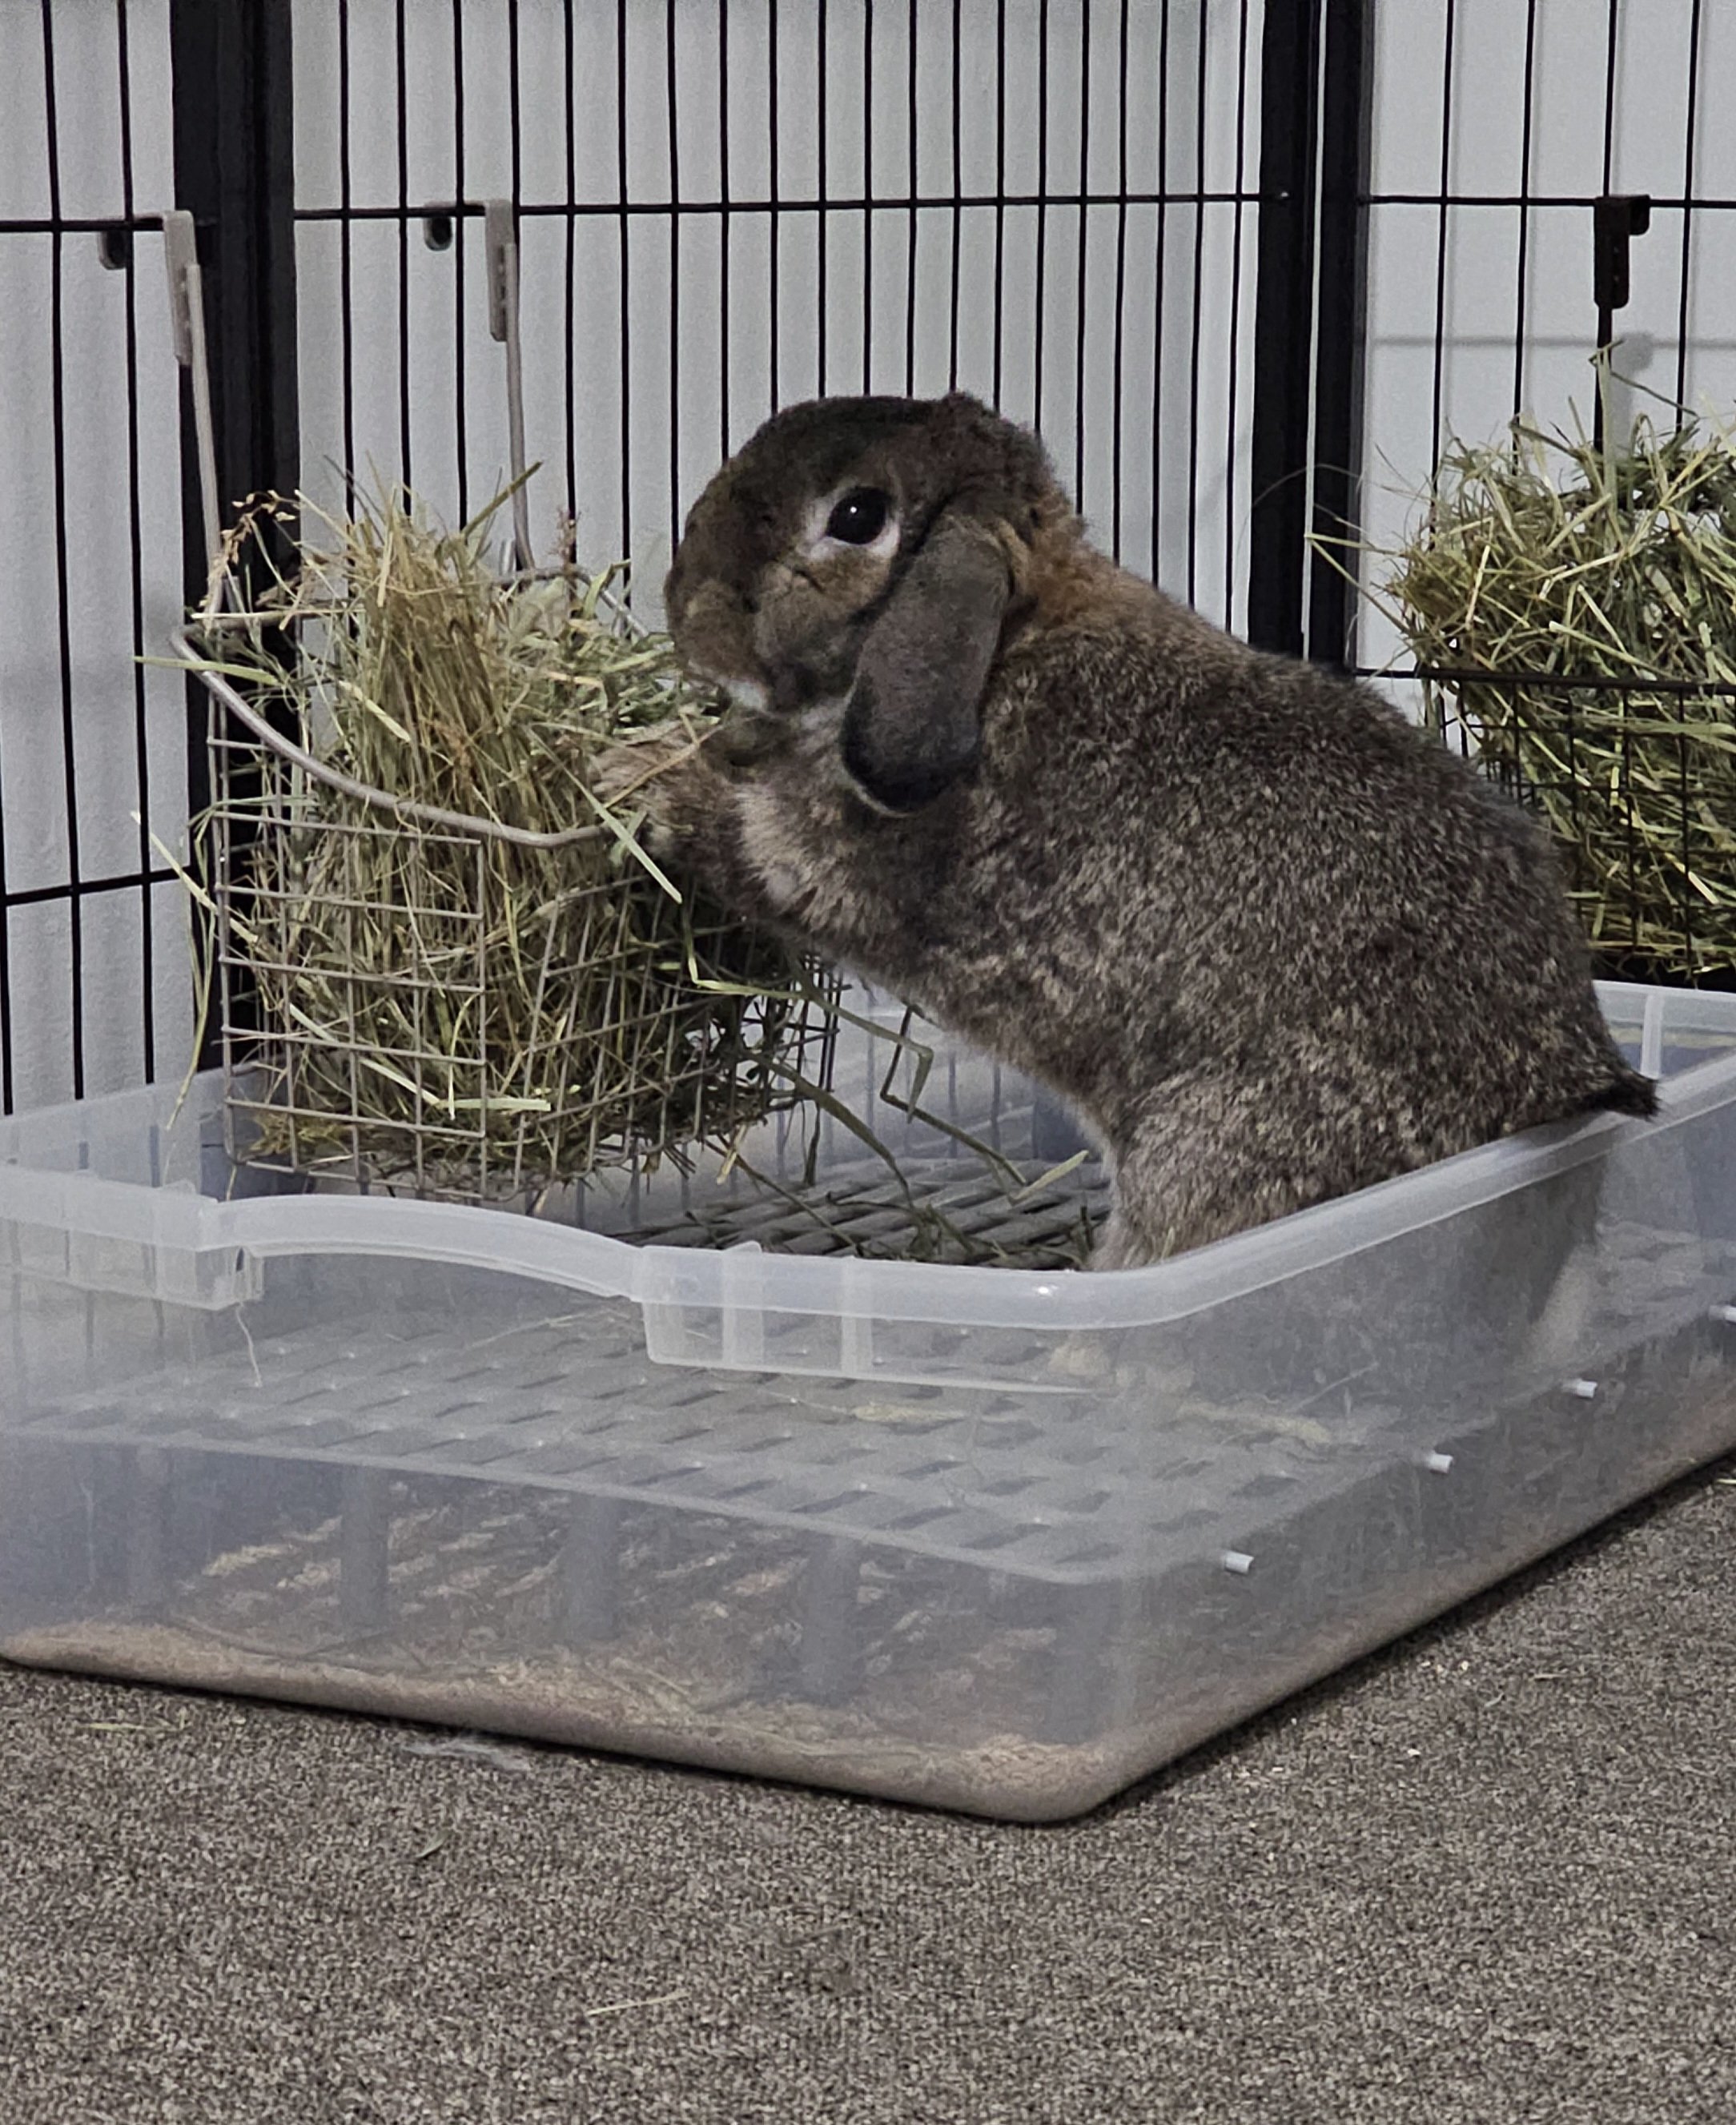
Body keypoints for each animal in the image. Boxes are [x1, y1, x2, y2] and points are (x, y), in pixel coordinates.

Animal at [605, 390, 1655, 1271]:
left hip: (1207, 1155)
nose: (688, 612)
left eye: (856, 518)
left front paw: (633, 774)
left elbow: (751, 844)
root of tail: (1570, 1090)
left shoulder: (830, 860)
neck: (1010, 643)